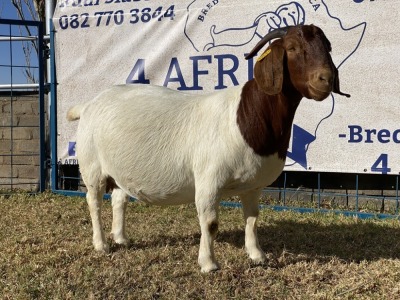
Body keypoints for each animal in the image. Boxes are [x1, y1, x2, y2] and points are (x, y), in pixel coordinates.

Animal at [66, 24, 350, 272]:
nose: (325, 79)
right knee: (94, 202)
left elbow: (252, 218)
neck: (246, 116)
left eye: (328, 46)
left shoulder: (253, 185)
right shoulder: (208, 180)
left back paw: (121, 238)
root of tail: (89, 104)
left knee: (119, 199)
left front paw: (257, 256)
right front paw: (208, 264)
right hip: (91, 166)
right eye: (291, 48)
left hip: (120, 169)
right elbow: (211, 223)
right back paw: (102, 244)